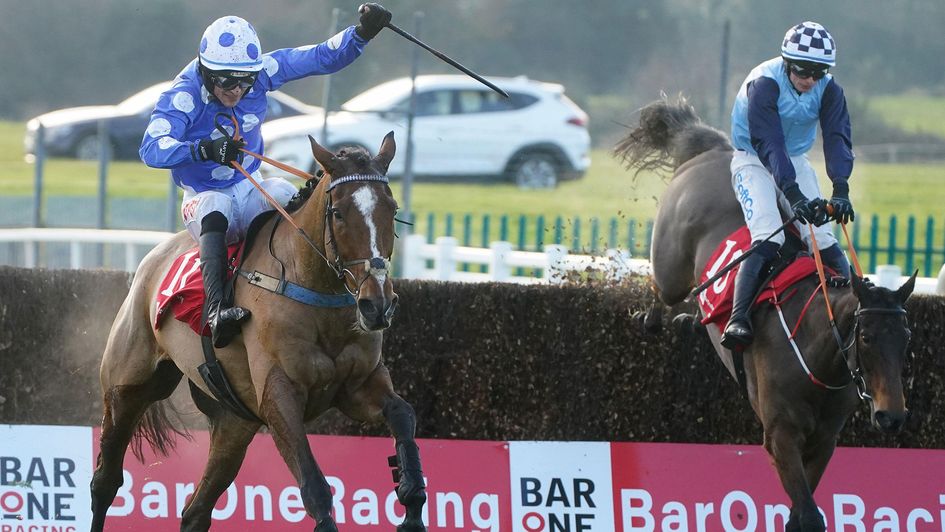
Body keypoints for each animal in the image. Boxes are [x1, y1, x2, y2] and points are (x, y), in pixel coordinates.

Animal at [90, 133, 426, 532]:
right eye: (339, 213)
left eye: (391, 208)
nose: (378, 305)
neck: (311, 287)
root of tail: (153, 257)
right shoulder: (279, 394)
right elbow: (314, 486)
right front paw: (219, 148)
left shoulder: (359, 385)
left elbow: (403, 414)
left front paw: (411, 501)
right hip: (127, 388)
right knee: (105, 482)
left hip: (234, 422)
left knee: (195, 511)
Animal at [612, 96, 916, 532]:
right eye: (867, 338)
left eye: (905, 340)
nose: (892, 417)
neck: (817, 356)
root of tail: (716, 150)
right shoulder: (780, 435)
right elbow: (808, 515)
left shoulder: (824, 440)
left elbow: (800, 514)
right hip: (672, 261)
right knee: (663, 287)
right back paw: (653, 318)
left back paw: (691, 320)